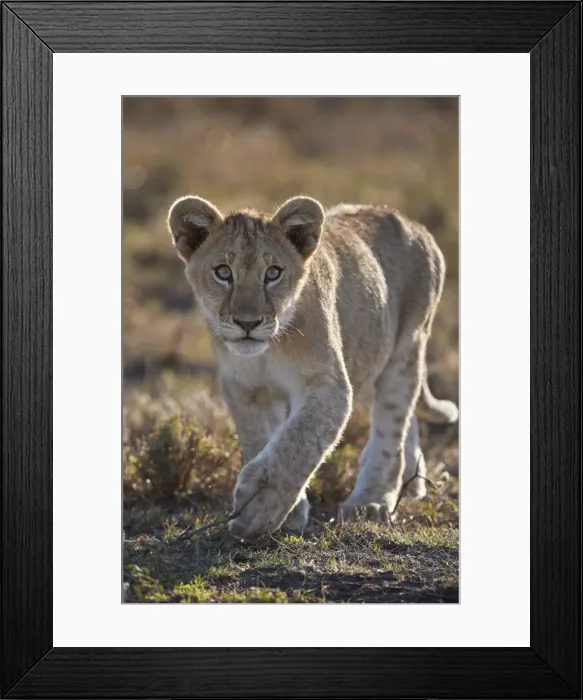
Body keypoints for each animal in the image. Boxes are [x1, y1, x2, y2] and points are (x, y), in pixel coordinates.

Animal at [168, 195, 458, 540]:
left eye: (273, 273)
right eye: (223, 272)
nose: (247, 323)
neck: (268, 350)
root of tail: (412, 222)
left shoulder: (328, 383)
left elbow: (299, 441)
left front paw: (256, 507)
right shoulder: (244, 387)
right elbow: (261, 438)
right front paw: (288, 512)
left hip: (406, 349)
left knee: (392, 429)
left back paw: (371, 502)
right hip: (373, 355)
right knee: (406, 417)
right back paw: (411, 484)